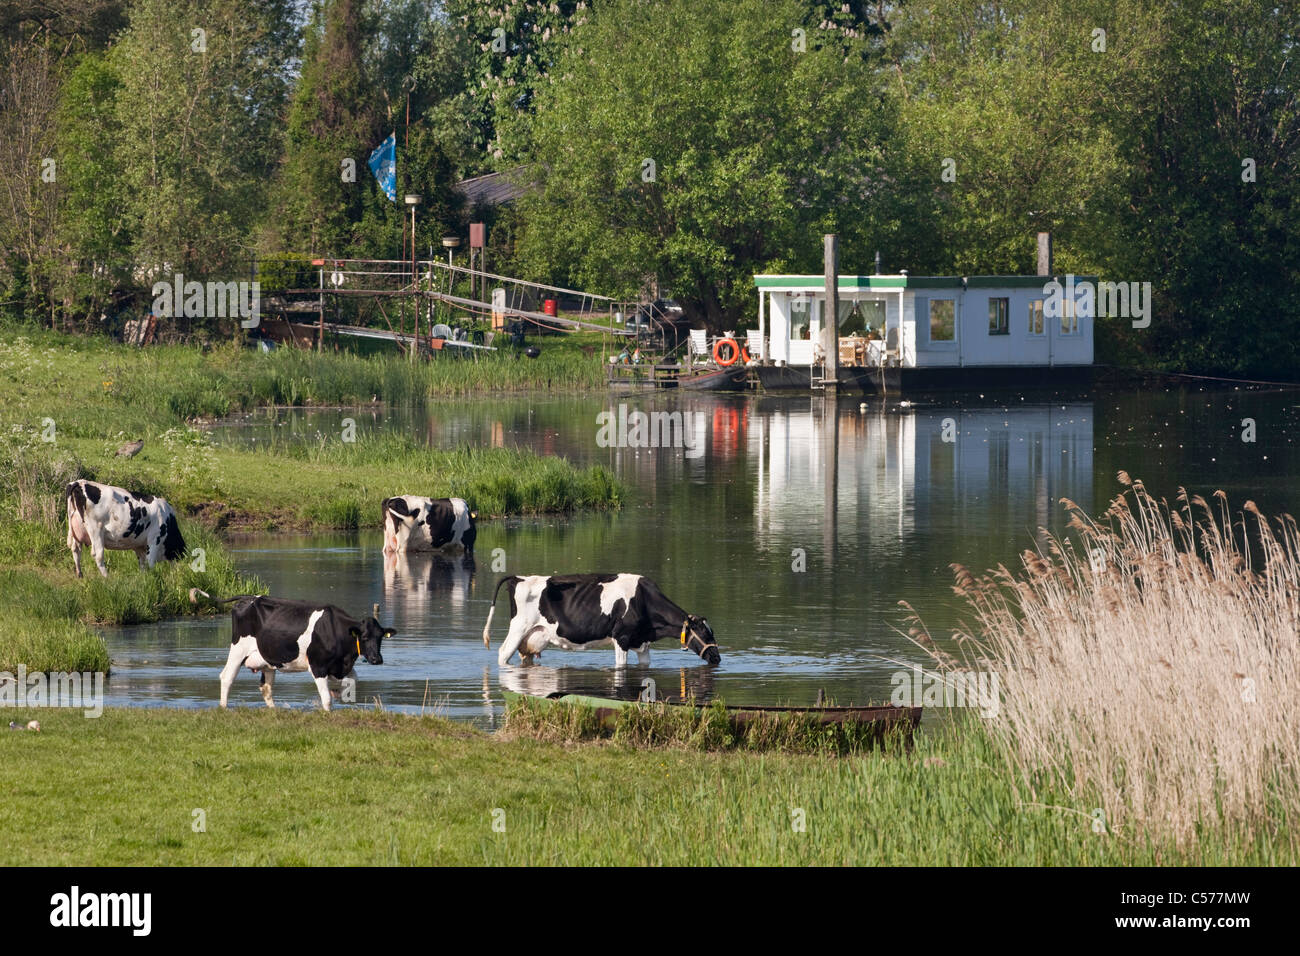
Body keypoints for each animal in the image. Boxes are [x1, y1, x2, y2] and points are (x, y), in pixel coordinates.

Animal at [197, 592, 394, 711]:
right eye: (365, 637)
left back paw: (274, 710)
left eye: (380, 637)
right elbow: (326, 698)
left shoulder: (340, 666)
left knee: (266, 687)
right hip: (239, 648)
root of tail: (249, 597)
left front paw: (337, 692)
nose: (377, 659)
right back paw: (223, 707)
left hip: (267, 658)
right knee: (227, 676)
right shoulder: (318, 665)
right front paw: (328, 710)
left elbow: (353, 680)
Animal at [482, 573, 720, 668]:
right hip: (518, 629)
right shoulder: (621, 638)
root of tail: (519, 578)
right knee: (502, 654)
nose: (717, 658)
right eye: (705, 633)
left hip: (532, 638)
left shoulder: (642, 643)